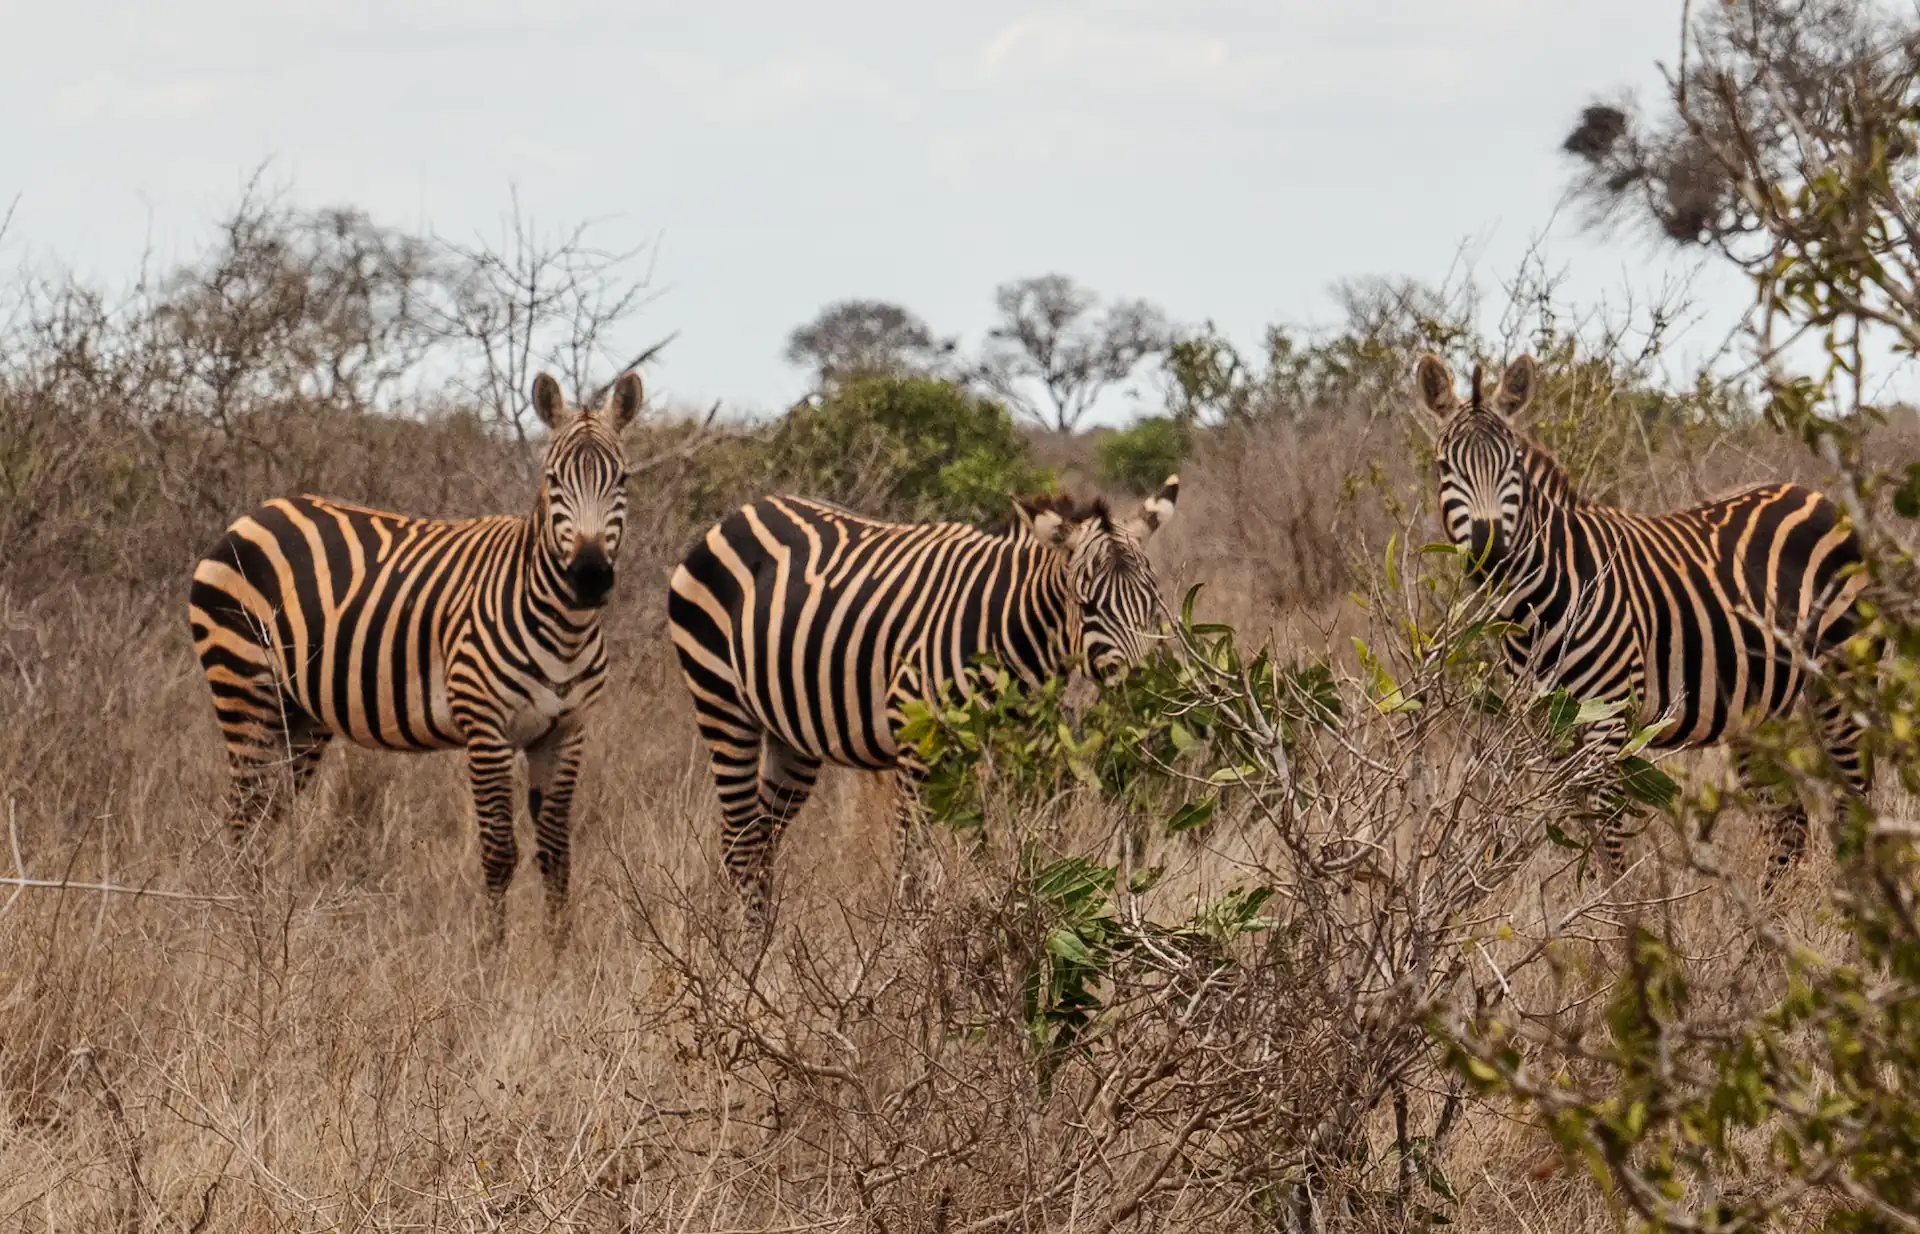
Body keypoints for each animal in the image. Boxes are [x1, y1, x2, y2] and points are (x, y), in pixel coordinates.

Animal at [187, 371, 641, 942]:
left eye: (621, 479)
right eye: (553, 480)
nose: (589, 576)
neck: (565, 628)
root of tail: (253, 515)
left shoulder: (566, 734)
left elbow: (557, 857)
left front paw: (561, 956)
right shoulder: (486, 729)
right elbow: (500, 855)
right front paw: (492, 956)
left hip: (299, 717)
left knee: (264, 820)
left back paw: (260, 928)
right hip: (244, 689)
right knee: (242, 822)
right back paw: (238, 931)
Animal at [667, 477, 1180, 916]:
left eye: (1154, 603)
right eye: (1087, 606)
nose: (1146, 697)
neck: (1009, 628)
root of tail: (742, 512)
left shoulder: (1021, 752)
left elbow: (1018, 849)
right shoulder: (917, 747)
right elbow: (915, 869)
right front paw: (909, 953)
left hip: (789, 736)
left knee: (761, 842)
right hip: (722, 705)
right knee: (740, 845)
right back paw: (744, 955)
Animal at [1414, 351, 1872, 885]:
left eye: (1513, 467)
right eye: (1445, 467)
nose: (1490, 554)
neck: (1539, 607)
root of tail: (1815, 496)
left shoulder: (1610, 718)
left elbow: (1607, 839)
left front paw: (1617, 909)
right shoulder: (1548, 728)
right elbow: (1578, 832)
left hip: (1843, 684)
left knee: (1856, 804)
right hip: (1759, 709)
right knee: (1789, 818)